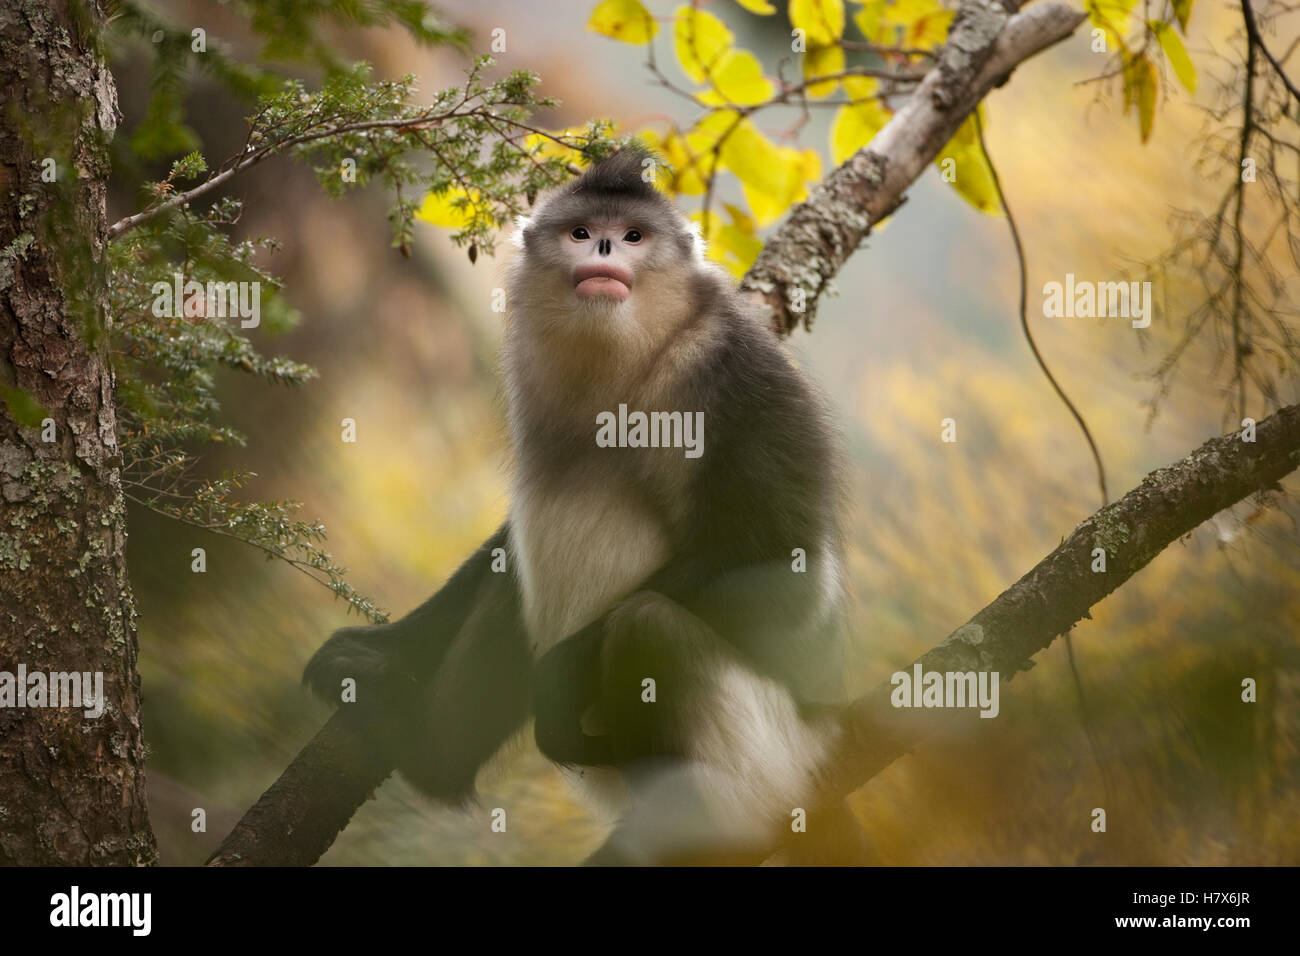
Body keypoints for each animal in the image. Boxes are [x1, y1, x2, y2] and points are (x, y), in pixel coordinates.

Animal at [304, 146, 867, 865]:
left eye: (632, 236)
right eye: (580, 232)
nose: (602, 247)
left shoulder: (739, 376)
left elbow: (788, 582)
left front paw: (554, 680)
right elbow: (502, 548)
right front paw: (389, 650)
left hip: (774, 754)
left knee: (647, 627)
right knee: (514, 582)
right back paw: (428, 754)